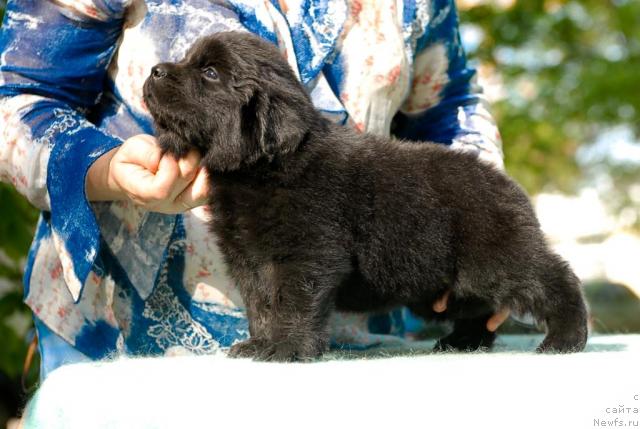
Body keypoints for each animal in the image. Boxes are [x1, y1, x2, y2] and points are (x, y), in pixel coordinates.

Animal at [142, 30, 588, 360]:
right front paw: (259, 344)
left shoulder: (308, 252)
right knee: (479, 308)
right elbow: (261, 303)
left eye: (210, 73)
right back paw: (463, 343)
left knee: (556, 278)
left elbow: (292, 301)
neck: (262, 168)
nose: (154, 70)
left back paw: (565, 340)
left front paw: (287, 348)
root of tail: (507, 185)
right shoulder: (249, 259)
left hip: (498, 259)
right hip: (449, 284)